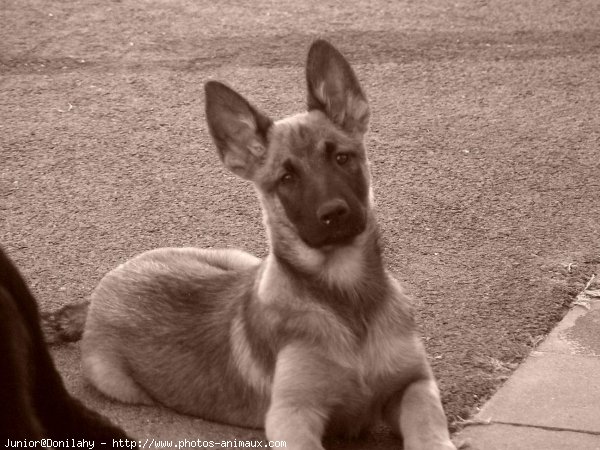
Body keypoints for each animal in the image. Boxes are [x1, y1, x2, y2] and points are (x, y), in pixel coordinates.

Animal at [43, 39, 454, 450]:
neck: (345, 298)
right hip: (115, 380)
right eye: (286, 178)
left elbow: (429, 429)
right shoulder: (292, 414)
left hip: (238, 259)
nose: (334, 213)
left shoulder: (415, 384)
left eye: (342, 157)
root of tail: (101, 292)